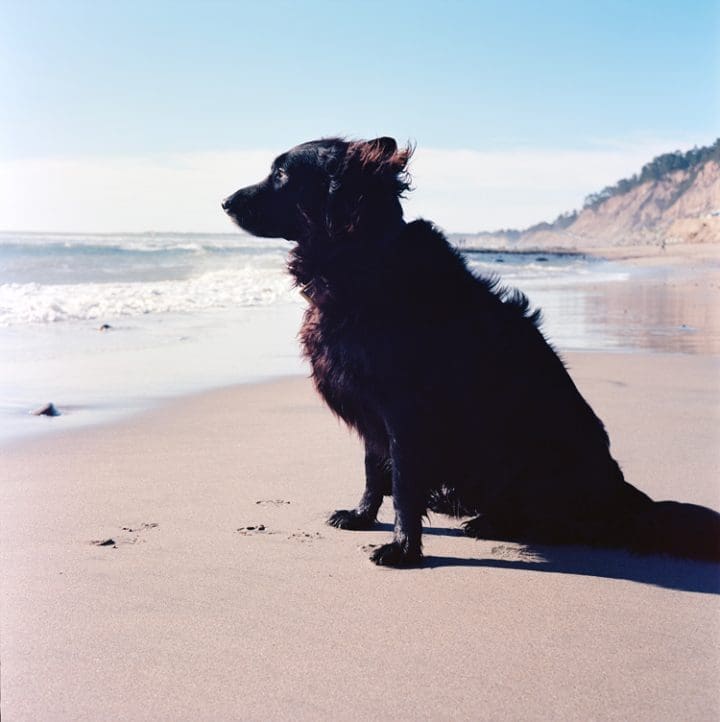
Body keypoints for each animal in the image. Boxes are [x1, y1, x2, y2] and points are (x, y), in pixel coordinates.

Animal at [222, 135, 716, 564]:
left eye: (282, 174)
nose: (224, 202)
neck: (362, 258)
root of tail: (622, 497)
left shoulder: (404, 410)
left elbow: (402, 484)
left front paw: (404, 550)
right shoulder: (371, 408)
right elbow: (373, 469)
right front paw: (362, 516)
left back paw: (491, 523)